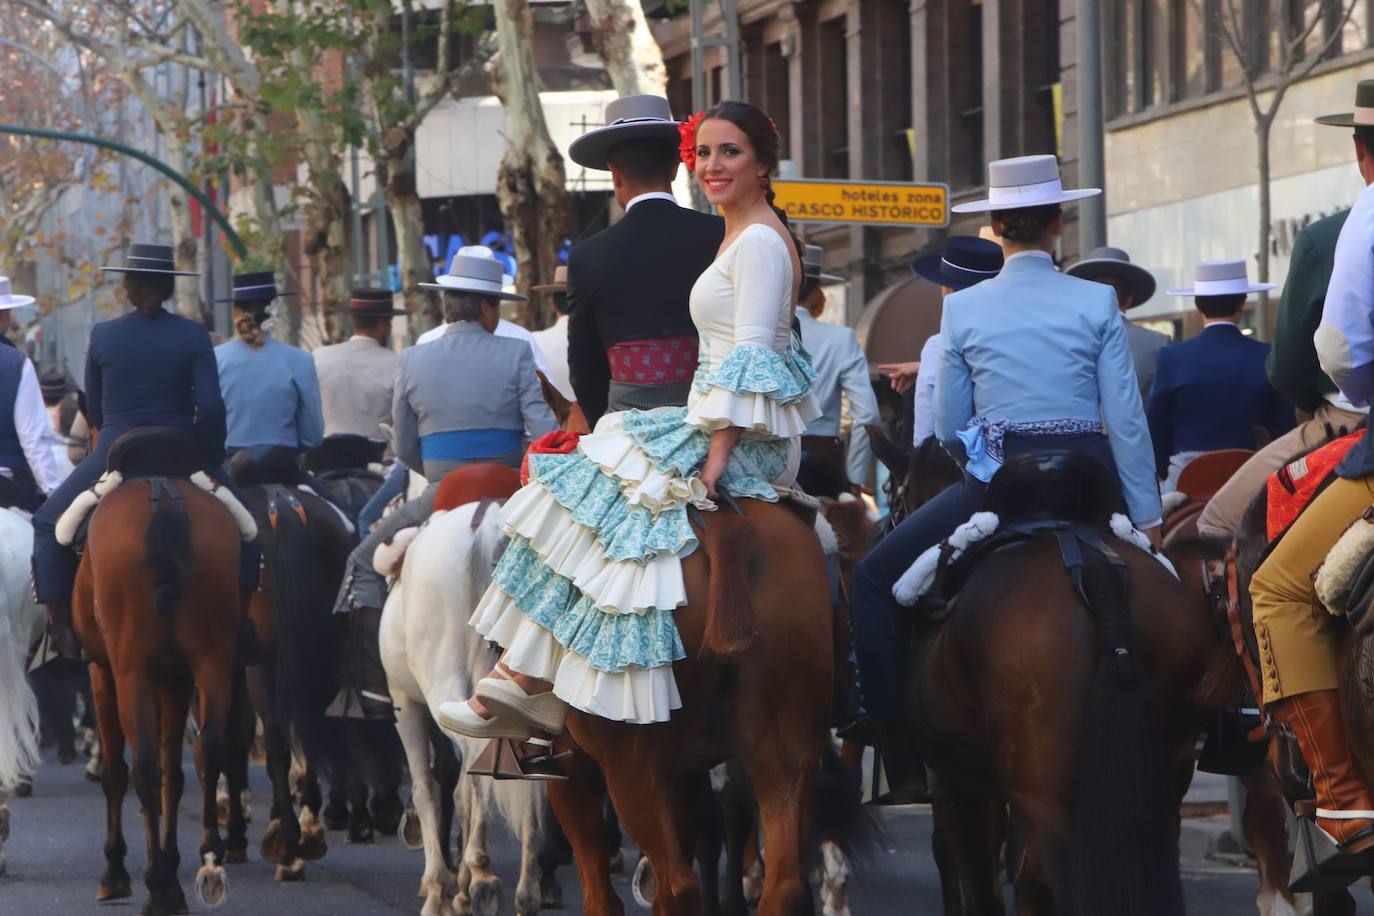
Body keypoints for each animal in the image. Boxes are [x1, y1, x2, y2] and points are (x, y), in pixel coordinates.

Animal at [74, 469, 243, 911]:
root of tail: (163, 494)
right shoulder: (177, 679)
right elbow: (176, 773)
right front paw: (173, 862)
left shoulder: (103, 671)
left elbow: (118, 772)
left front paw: (116, 872)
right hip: (213, 662)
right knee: (209, 748)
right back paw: (206, 863)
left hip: (131, 672)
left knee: (145, 766)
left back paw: (155, 886)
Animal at [381, 502, 546, 916]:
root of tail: (485, 522)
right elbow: (461, 789)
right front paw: (460, 887)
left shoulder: (405, 706)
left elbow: (427, 789)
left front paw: (440, 887)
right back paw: (525, 890)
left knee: (470, 759)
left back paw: (481, 872)